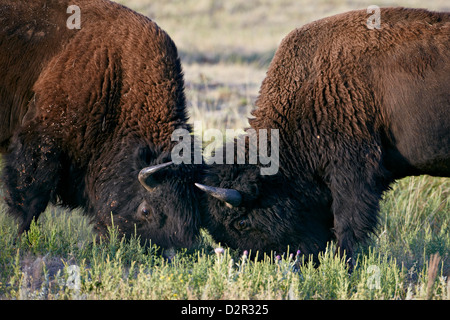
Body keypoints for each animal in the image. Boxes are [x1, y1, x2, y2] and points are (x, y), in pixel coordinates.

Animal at [0, 0, 201, 250]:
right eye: (146, 210)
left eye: (193, 220)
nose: (168, 253)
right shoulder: (42, 140)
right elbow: (32, 198)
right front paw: (21, 240)